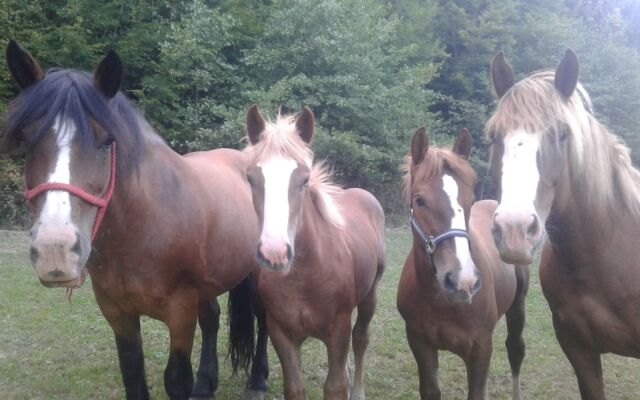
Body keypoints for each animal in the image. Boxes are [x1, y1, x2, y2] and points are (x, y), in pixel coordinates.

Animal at [1, 40, 268, 400]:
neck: (141, 230)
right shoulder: (118, 313)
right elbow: (133, 374)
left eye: (106, 141)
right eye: (27, 141)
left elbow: (176, 379)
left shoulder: (180, 312)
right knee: (212, 318)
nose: (55, 249)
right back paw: (206, 384)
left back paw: (258, 379)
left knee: (263, 320)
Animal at [241, 106, 384, 400]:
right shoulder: (281, 333)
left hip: (370, 295)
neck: (305, 276)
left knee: (361, 339)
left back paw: (358, 391)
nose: (275, 252)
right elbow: (294, 388)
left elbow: (335, 387)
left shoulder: (338, 331)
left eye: (304, 179)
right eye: (250, 178)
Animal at [396, 127, 528, 400]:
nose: (462, 280)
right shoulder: (419, 342)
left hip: (518, 305)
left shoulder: (481, 348)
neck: (440, 301)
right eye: (419, 201)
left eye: (470, 198)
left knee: (515, 350)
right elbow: (430, 391)